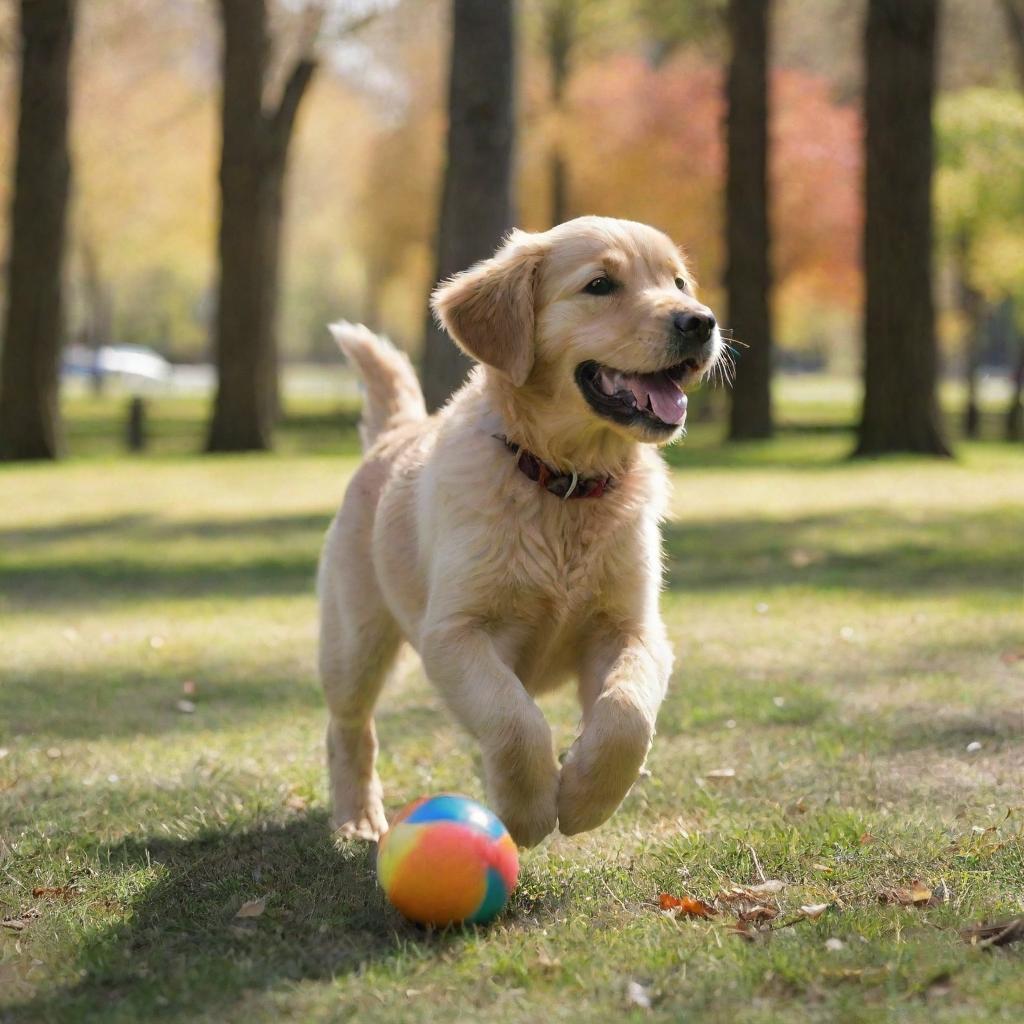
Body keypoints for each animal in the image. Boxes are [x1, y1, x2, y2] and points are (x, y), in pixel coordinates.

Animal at [319, 216, 720, 847]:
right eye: (600, 285)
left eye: (678, 282)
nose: (701, 321)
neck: (566, 482)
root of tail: (395, 433)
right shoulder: (455, 631)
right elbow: (513, 719)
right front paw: (529, 811)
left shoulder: (633, 627)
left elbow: (627, 714)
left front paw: (584, 797)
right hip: (354, 639)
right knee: (348, 726)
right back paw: (357, 818)